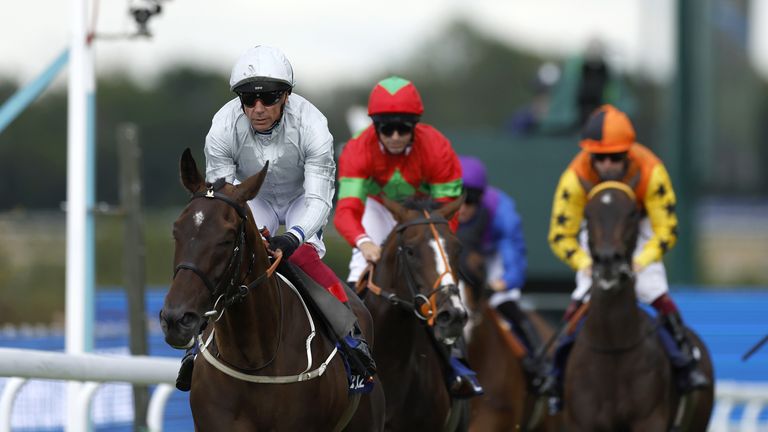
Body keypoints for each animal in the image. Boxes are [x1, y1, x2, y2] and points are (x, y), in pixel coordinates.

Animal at [564, 182, 712, 432]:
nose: (608, 261)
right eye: (587, 214)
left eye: (632, 213)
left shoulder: (649, 419)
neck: (612, 346)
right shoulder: (580, 422)